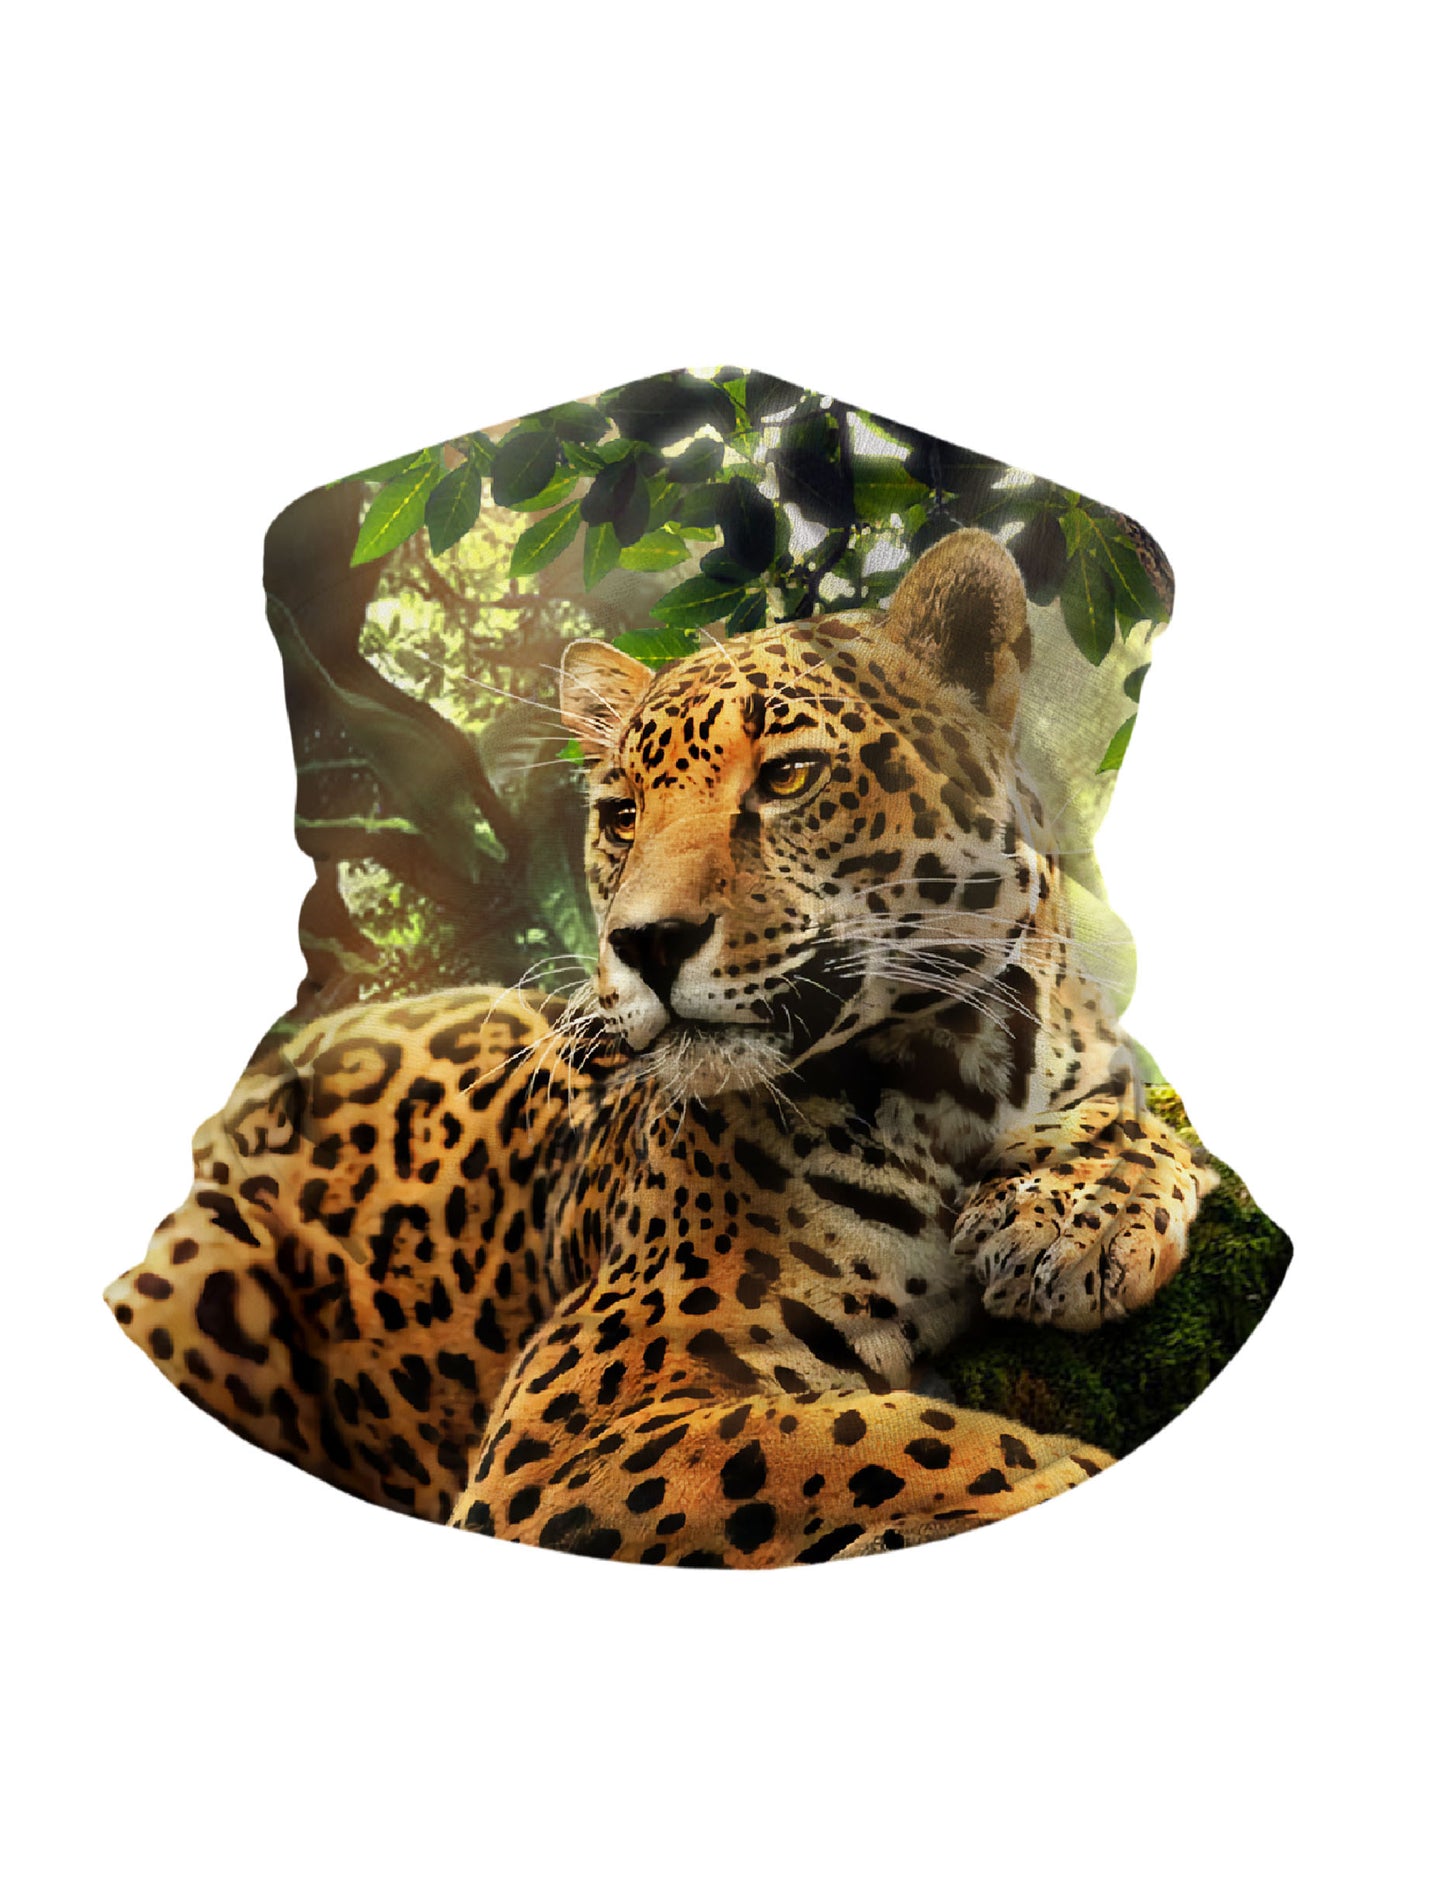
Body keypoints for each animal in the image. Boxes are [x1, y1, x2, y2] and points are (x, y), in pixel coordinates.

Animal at [106, 528, 1214, 1567]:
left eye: (789, 775)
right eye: (621, 815)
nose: (642, 943)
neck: (963, 1072)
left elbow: (1137, 1126)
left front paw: (1069, 1220)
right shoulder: (569, 1417)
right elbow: (855, 1443)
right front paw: (1061, 1480)